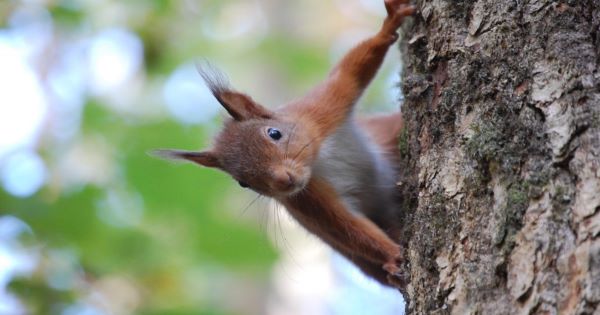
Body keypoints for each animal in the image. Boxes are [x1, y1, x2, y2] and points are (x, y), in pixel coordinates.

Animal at [157, 0, 414, 288]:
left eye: (274, 133)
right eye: (242, 182)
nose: (284, 181)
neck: (318, 160)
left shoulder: (320, 110)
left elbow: (350, 72)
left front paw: (389, 25)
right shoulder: (307, 200)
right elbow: (348, 229)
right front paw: (392, 255)